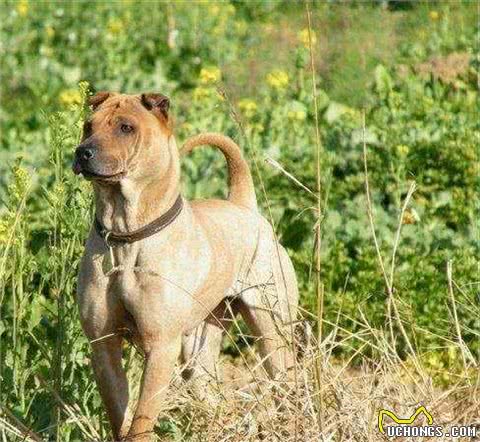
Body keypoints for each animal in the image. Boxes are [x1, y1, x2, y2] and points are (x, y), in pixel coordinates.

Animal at [73, 91, 298, 440]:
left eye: (126, 128)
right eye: (88, 126)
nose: (83, 152)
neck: (126, 236)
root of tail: (244, 206)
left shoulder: (161, 346)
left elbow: (141, 419)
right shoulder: (103, 344)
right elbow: (119, 414)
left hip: (272, 329)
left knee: (284, 381)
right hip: (199, 349)